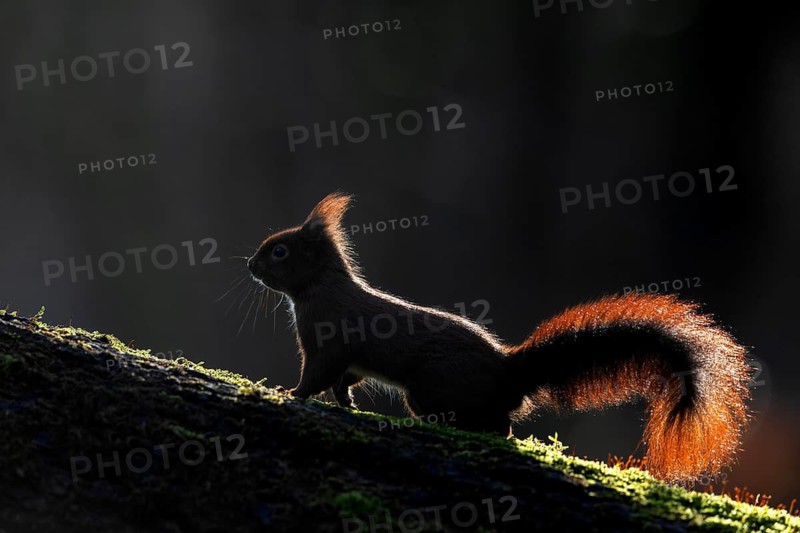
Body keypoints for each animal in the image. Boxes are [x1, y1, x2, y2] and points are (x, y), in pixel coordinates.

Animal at [247, 192, 752, 481]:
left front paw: (289, 393)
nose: (249, 265)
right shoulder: (345, 358)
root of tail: (509, 371)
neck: (318, 287)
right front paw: (344, 403)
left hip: (430, 391)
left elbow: (318, 374)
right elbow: (343, 382)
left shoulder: (327, 339)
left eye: (279, 250)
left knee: (496, 424)